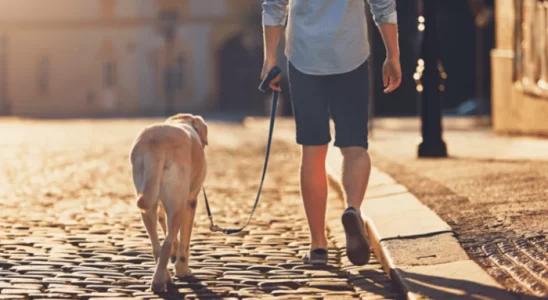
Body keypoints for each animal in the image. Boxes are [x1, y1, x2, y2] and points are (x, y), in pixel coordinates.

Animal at [128, 113, 208, 292]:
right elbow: (185, 241)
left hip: (147, 202)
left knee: (156, 245)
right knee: (167, 242)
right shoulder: (190, 201)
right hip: (178, 203)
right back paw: (160, 281)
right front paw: (183, 269)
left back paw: (164, 277)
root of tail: (157, 143)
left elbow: (164, 223)